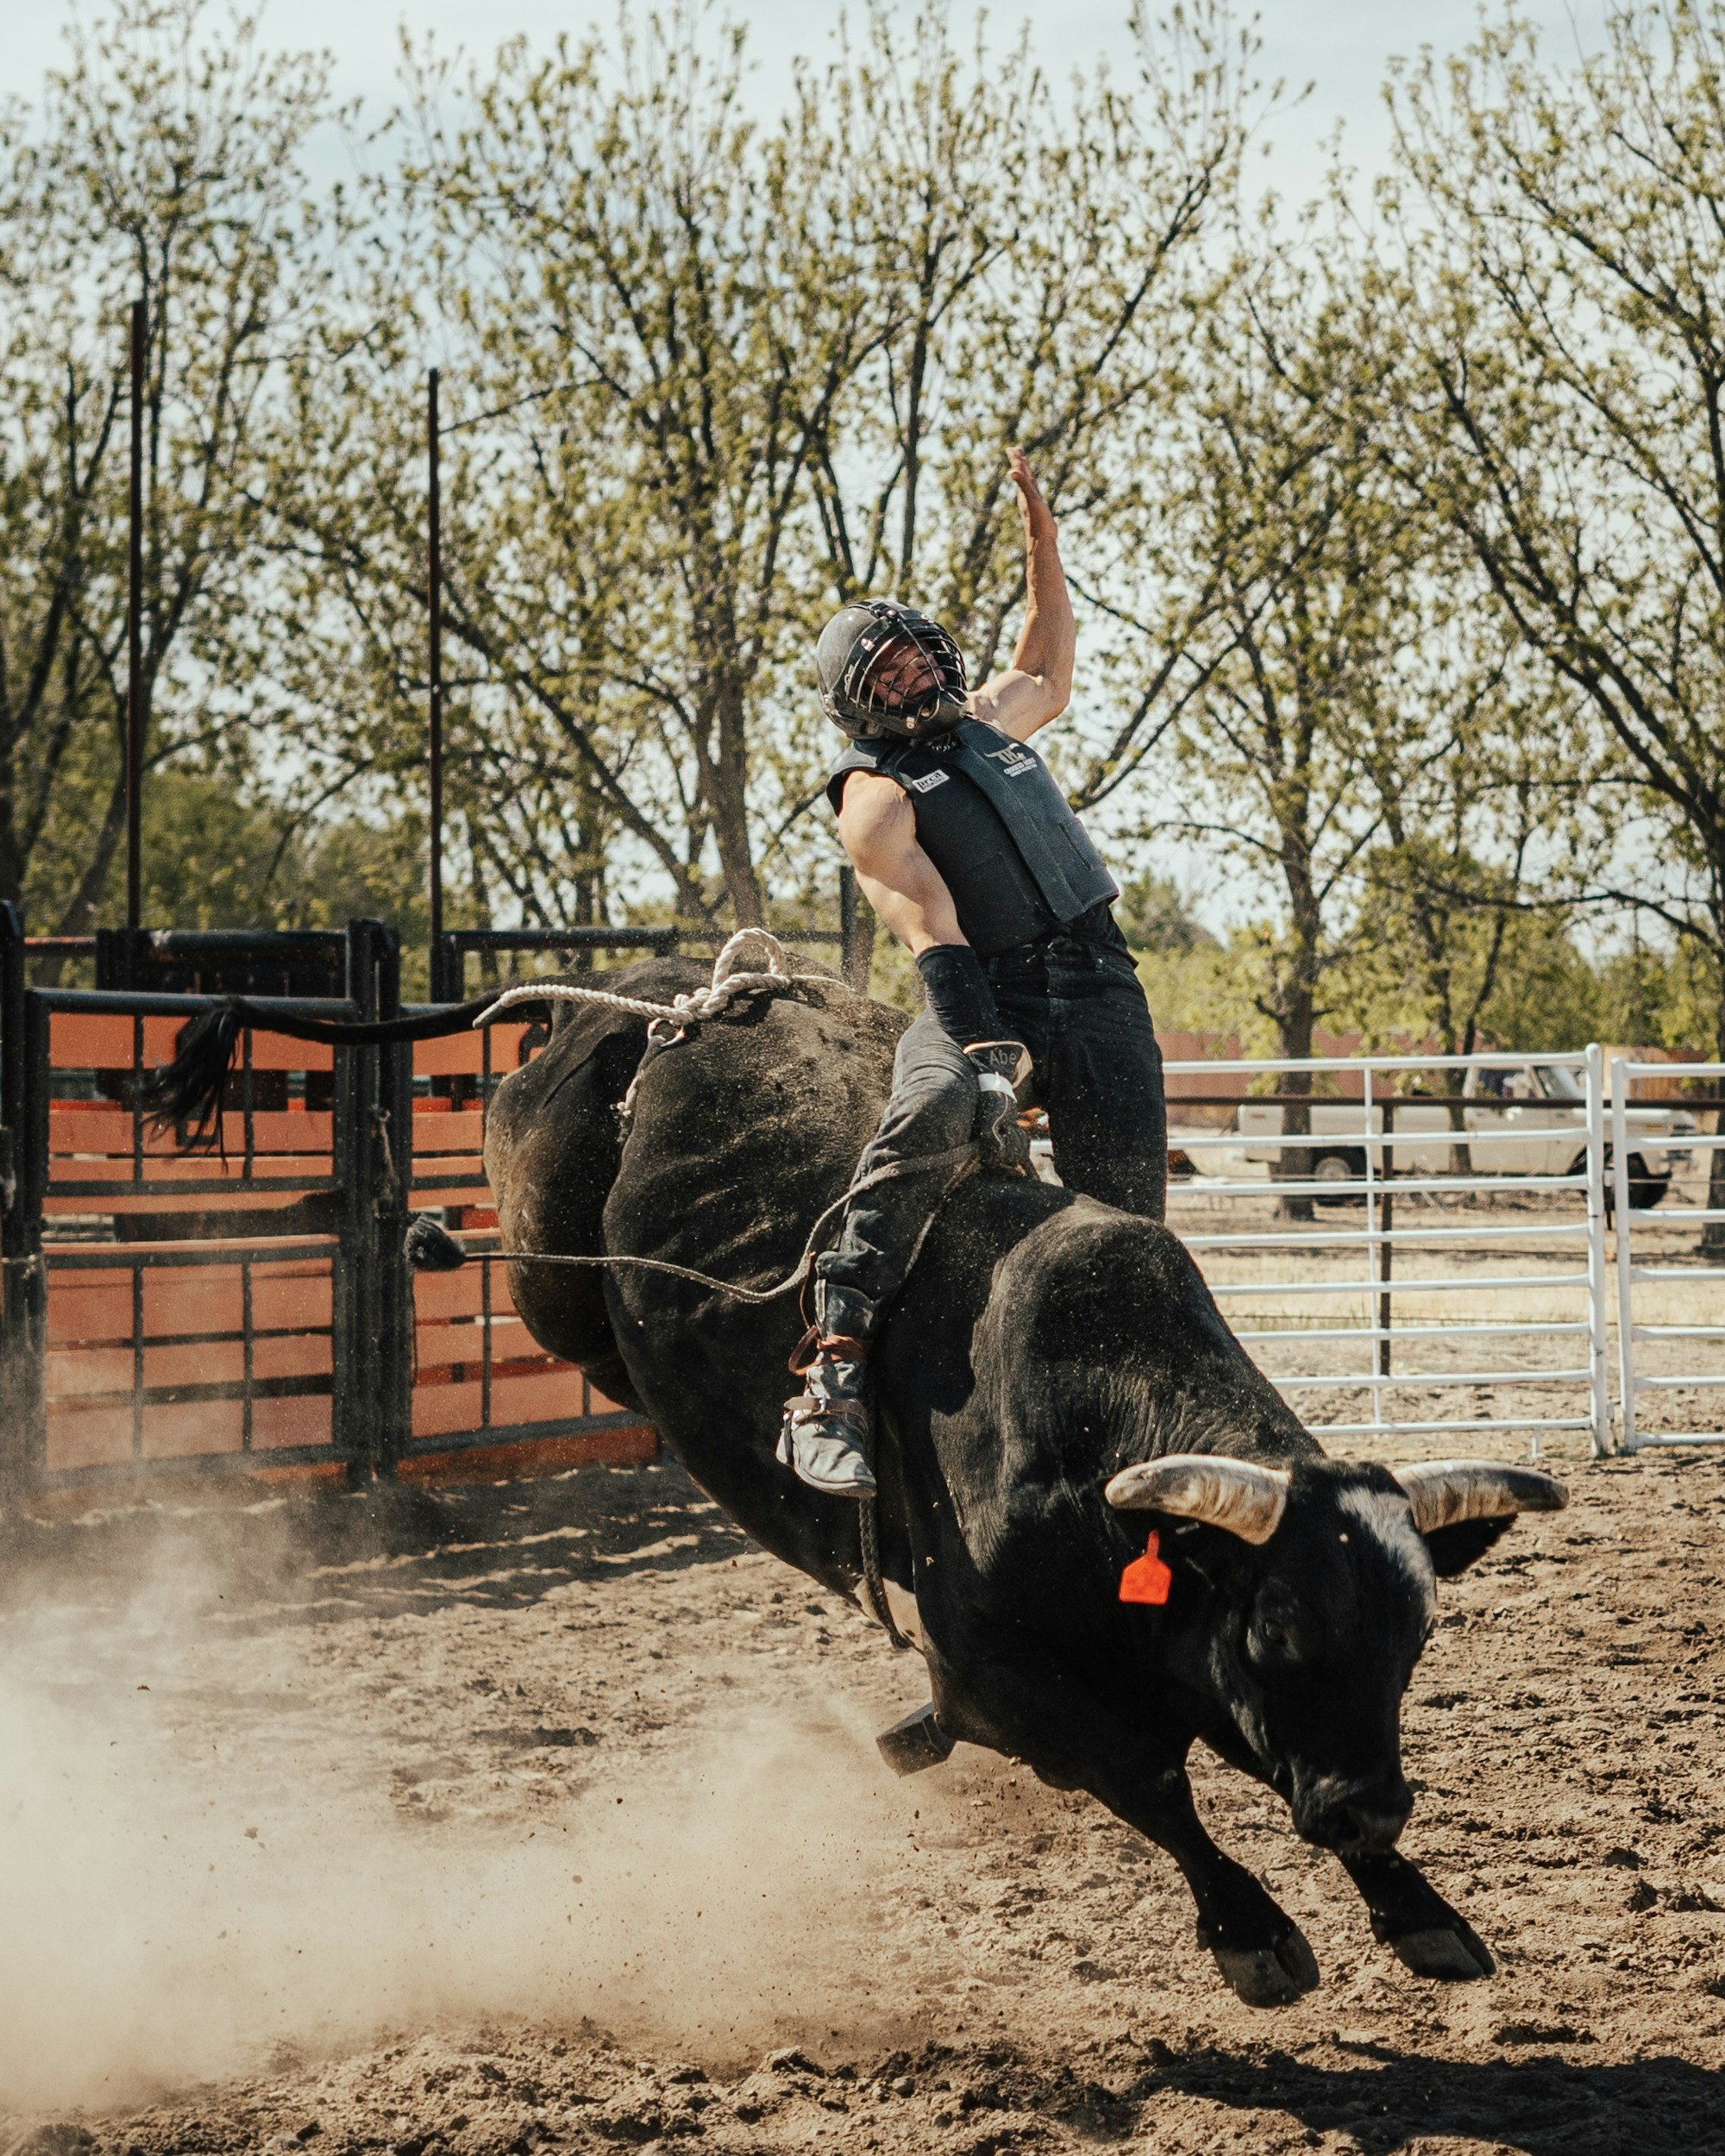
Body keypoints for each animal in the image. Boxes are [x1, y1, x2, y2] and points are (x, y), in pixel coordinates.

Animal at [469, 954, 1568, 2009]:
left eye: (1413, 1637)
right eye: (1279, 1630)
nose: (1370, 1810)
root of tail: (660, 996)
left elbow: (1253, 1749)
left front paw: (1418, 1907)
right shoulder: (994, 1684)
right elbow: (1150, 1783)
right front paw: (1250, 1934)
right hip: (548, 1274)